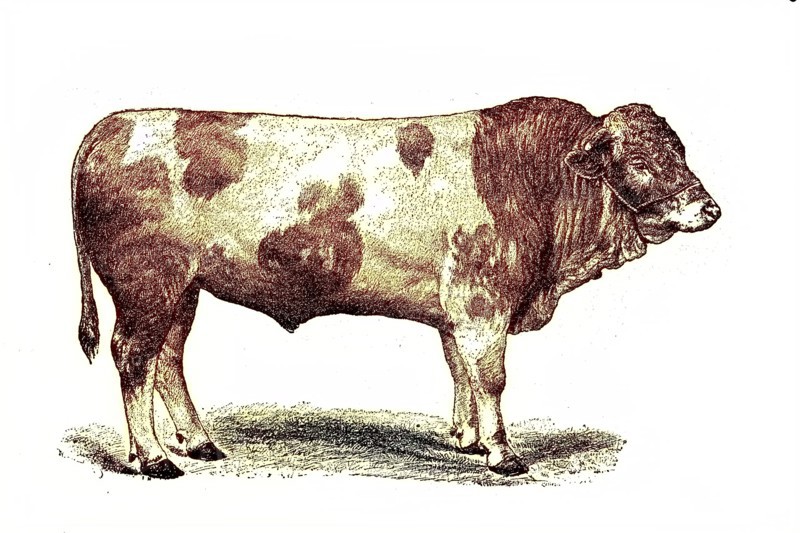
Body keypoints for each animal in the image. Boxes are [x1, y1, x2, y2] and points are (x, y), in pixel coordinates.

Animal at [71, 97, 720, 479]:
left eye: (681, 150)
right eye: (638, 162)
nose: (710, 209)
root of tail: (113, 125)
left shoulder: (460, 309)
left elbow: (459, 368)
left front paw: (465, 438)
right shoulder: (484, 302)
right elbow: (491, 377)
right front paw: (503, 454)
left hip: (182, 288)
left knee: (167, 359)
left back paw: (197, 443)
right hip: (148, 284)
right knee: (134, 357)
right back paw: (154, 458)